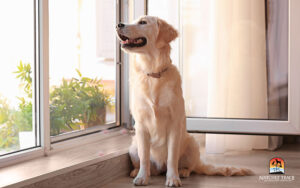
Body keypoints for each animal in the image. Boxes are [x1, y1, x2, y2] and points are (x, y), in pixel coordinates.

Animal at [115, 16, 253, 187]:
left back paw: (182, 171)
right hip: (133, 147)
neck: (154, 74)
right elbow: (145, 158)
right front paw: (142, 177)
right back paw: (139, 171)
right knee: (147, 164)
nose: (118, 24)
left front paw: (173, 178)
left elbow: (172, 157)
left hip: (191, 143)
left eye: (142, 22)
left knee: (190, 166)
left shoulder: (174, 125)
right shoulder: (141, 126)